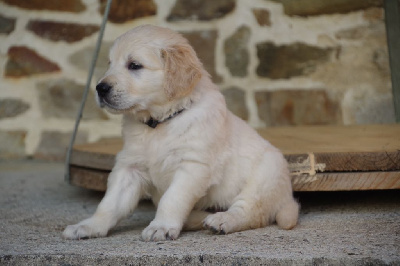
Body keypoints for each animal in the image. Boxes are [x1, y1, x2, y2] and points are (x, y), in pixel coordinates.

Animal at [62, 25, 298, 241]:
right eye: (110, 64)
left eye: (134, 65)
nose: (100, 88)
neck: (159, 123)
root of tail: (287, 197)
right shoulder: (129, 166)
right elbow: (109, 203)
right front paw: (89, 226)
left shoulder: (193, 166)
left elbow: (172, 198)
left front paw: (161, 227)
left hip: (265, 177)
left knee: (250, 211)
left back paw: (222, 220)